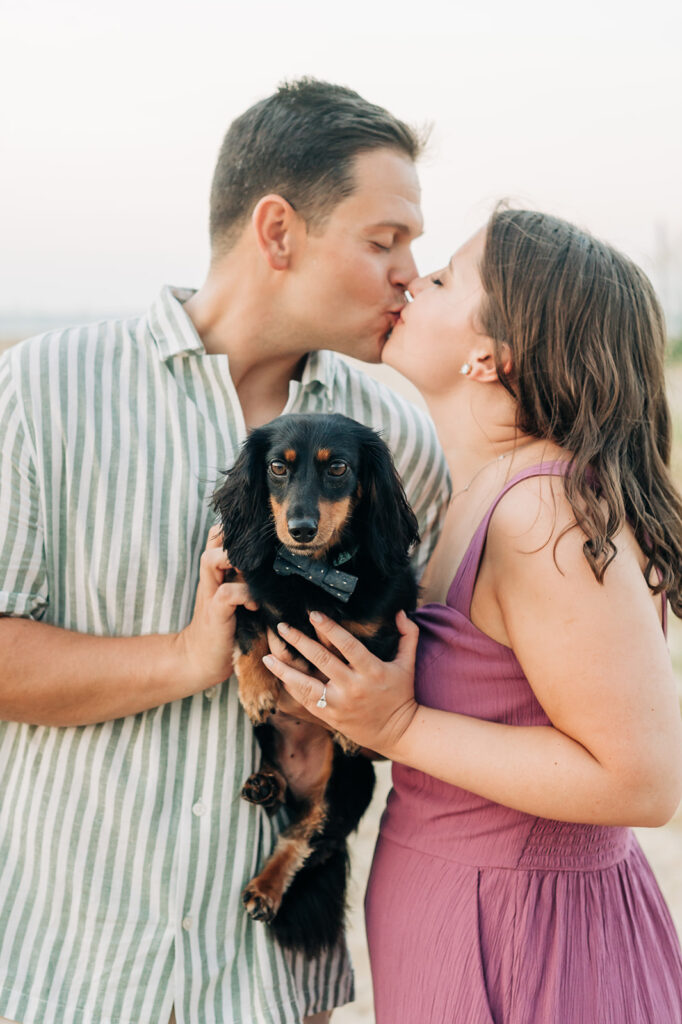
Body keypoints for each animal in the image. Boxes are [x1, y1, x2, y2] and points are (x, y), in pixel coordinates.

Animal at [209, 411, 417, 954]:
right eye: (278, 467)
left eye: (338, 467)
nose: (300, 530)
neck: (313, 573)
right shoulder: (244, 584)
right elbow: (252, 629)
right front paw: (258, 690)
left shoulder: (383, 634)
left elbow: (354, 660)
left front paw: (347, 721)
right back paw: (266, 785)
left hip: (350, 784)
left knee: (305, 838)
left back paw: (265, 888)